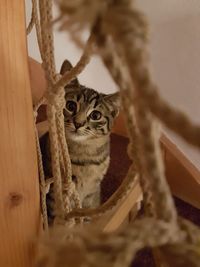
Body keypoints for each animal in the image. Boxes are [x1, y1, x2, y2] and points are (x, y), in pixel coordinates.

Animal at [39, 59, 119, 218]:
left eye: (95, 115)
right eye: (70, 105)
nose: (78, 123)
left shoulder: (91, 194)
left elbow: (86, 212)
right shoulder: (55, 194)